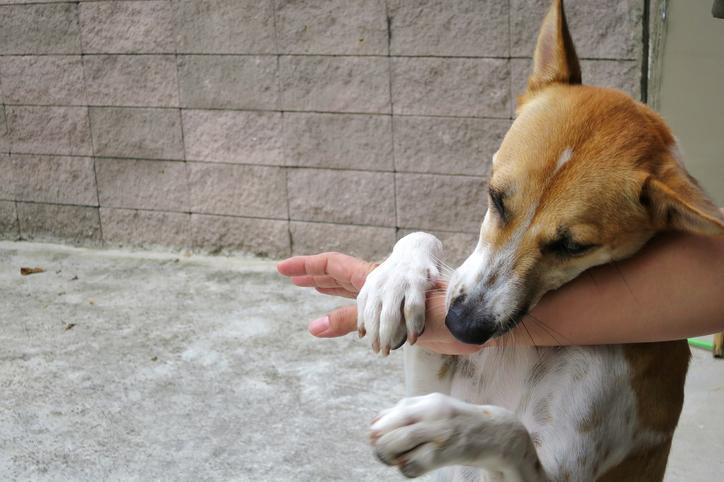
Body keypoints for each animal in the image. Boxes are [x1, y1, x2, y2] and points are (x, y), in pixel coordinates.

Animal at [356, 1, 724, 480]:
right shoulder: (430, 378)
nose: (463, 327)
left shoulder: (562, 469)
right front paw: (396, 281)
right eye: (495, 198)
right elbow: (423, 235)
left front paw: (440, 427)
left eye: (573, 247)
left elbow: (509, 430)